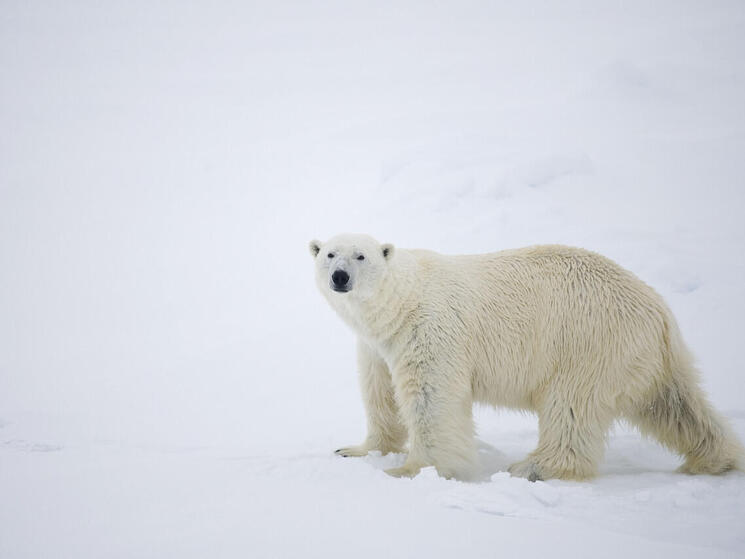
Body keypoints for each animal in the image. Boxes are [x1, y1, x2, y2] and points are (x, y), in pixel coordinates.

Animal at [306, 234, 740, 484]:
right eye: (329, 253)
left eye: (361, 256)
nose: (340, 277)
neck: (403, 301)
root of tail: (660, 313)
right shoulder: (378, 345)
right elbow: (380, 394)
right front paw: (356, 449)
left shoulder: (431, 329)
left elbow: (432, 398)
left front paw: (412, 470)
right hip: (643, 358)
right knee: (676, 406)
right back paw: (714, 459)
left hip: (588, 344)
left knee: (571, 409)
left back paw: (533, 468)